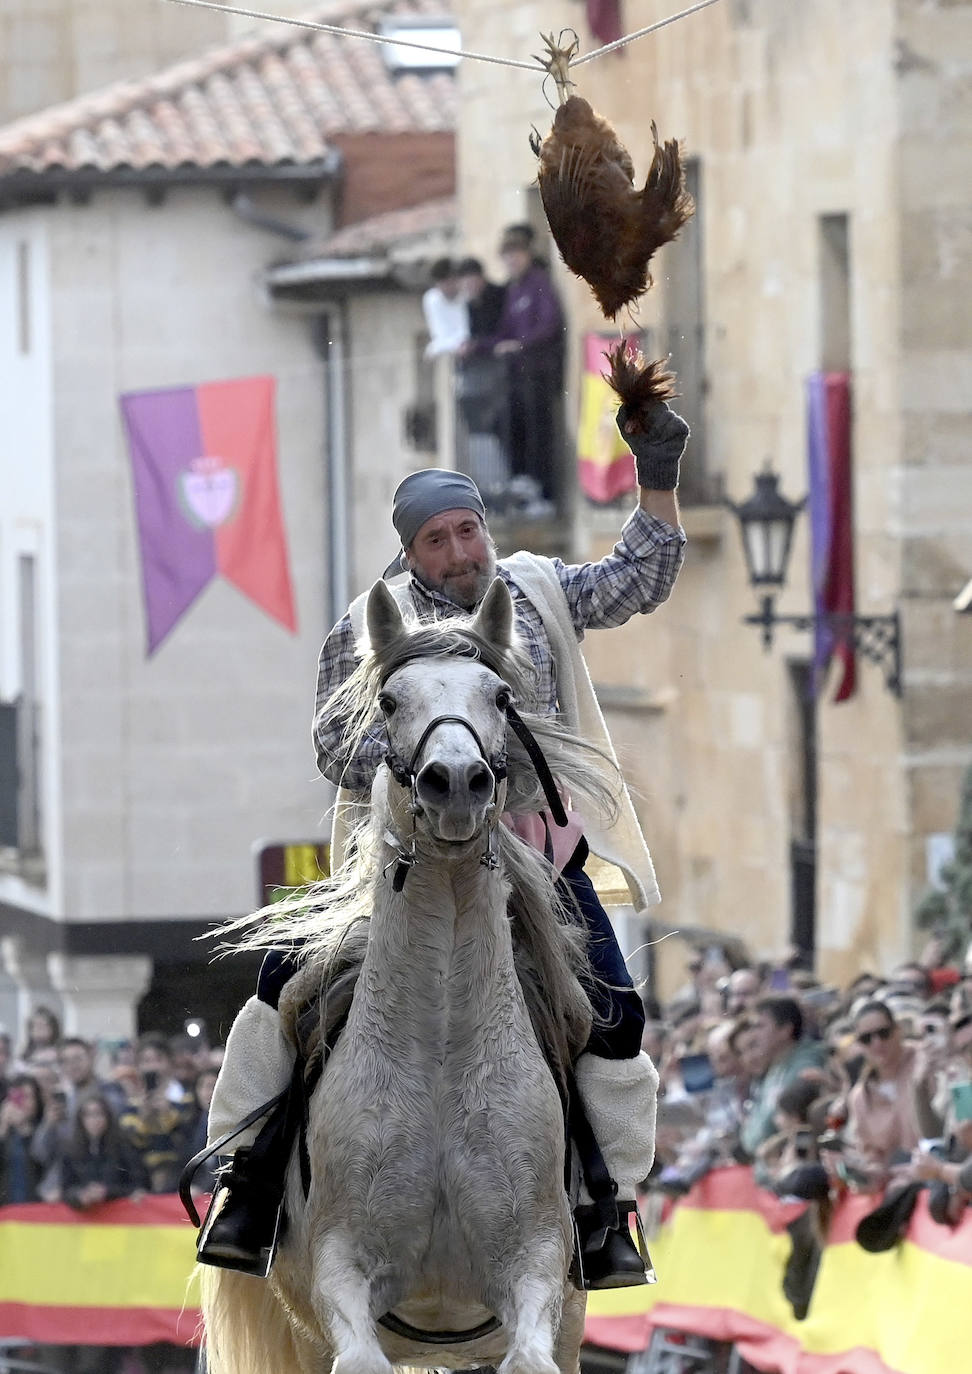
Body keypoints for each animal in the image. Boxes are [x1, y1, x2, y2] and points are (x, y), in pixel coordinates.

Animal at [203, 577, 624, 1374]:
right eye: (391, 700)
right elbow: (358, 1350)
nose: (455, 782)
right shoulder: (339, 1272)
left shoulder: (538, 1267)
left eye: (500, 696)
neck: (442, 1047)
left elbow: (531, 1351)